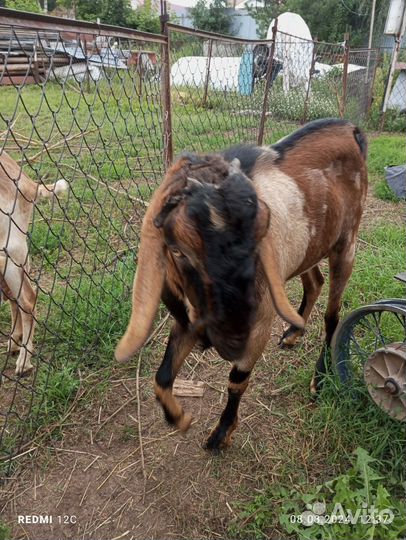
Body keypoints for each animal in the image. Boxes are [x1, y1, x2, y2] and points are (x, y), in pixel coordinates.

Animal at [0, 150, 68, 374]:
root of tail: (29, 185)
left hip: (10, 253)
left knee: (27, 300)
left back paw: (24, 361)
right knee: (15, 299)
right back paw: (14, 343)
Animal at [114, 119, 368, 452]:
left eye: (258, 235)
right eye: (178, 250)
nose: (231, 341)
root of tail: (350, 128)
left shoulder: (258, 325)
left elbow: (236, 381)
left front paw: (221, 433)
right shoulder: (190, 319)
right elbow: (162, 376)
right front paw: (180, 418)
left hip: (346, 243)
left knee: (333, 316)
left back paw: (320, 378)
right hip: (310, 247)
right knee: (314, 282)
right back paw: (293, 333)